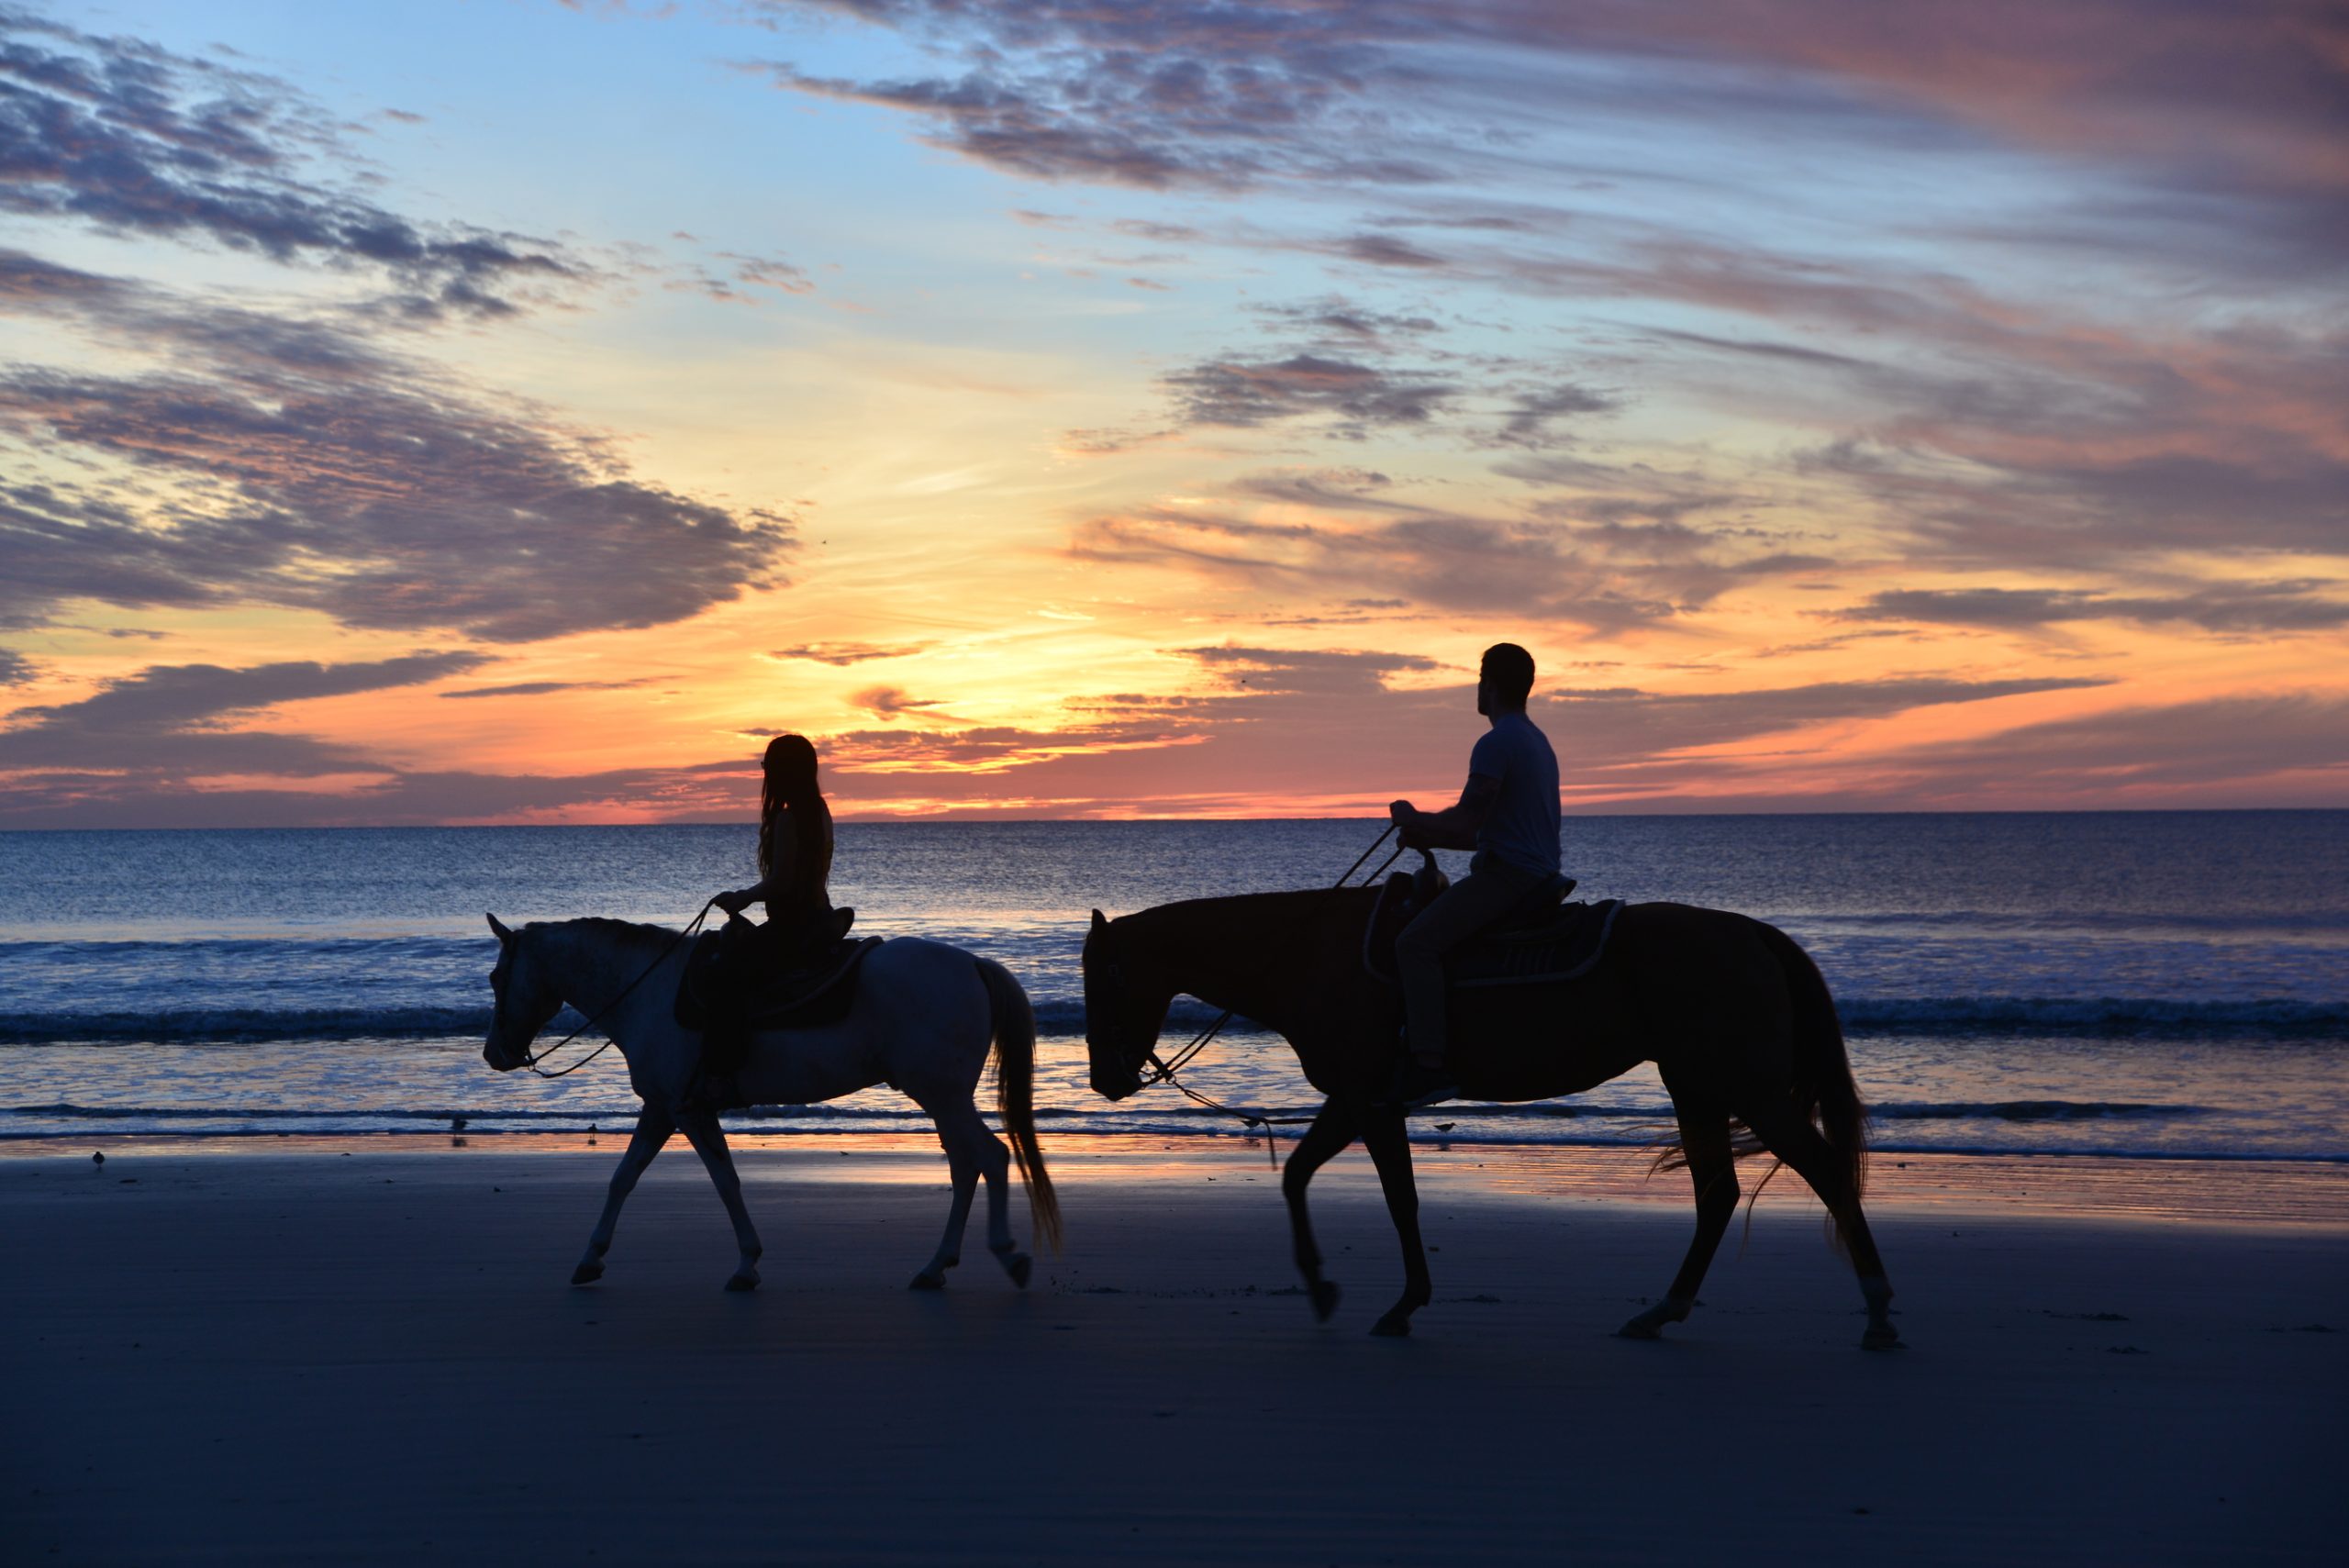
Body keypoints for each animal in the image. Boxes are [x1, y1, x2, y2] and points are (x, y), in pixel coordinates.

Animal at [481, 910, 1062, 1296]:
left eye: (495, 977)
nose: (494, 1053)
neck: (648, 992)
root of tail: (974, 965)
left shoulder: (682, 1109)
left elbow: (714, 1182)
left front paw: (744, 1264)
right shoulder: (671, 1109)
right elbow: (634, 1178)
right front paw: (593, 1258)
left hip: (942, 1095)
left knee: (989, 1158)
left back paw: (1005, 1256)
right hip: (943, 1099)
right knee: (967, 1167)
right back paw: (935, 1266)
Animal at [1089, 882, 1898, 1351]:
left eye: (1100, 981)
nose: (1104, 1080)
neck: (1310, 953)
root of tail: (1752, 933)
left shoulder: (1364, 1097)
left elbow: (1392, 1198)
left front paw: (1393, 1301)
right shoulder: (1361, 1099)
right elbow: (1308, 1178)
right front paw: (1334, 1287)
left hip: (1743, 1089)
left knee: (1823, 1174)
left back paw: (1880, 1313)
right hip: (1696, 1085)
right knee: (1719, 1193)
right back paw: (1661, 1311)